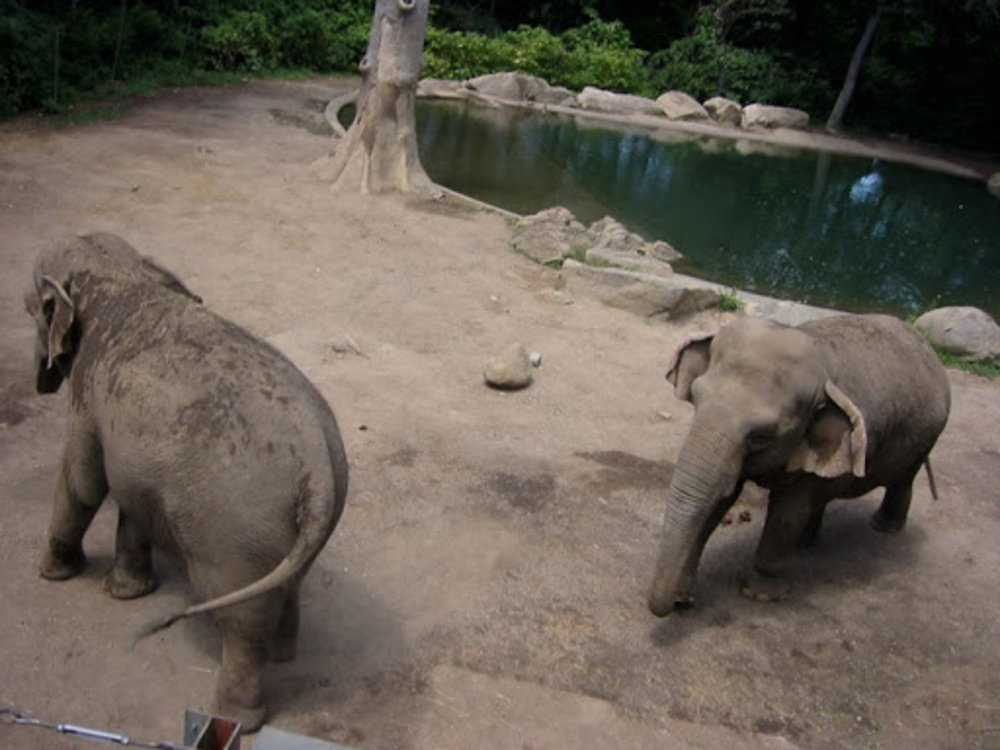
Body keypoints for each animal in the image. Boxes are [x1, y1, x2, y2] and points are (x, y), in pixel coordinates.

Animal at [23, 232, 348, 732]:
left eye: (27, 309)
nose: (39, 378)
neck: (121, 279)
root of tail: (319, 473)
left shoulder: (87, 391)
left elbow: (84, 481)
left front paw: (53, 575)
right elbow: (132, 499)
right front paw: (127, 593)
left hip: (235, 535)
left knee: (240, 618)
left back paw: (233, 716)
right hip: (284, 533)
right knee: (283, 588)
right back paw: (283, 656)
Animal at [648, 314, 952, 620]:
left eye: (762, 436)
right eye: (695, 399)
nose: (674, 606)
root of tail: (926, 345)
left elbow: (787, 511)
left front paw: (760, 595)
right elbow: (719, 499)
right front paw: (683, 595)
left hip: (926, 437)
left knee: (902, 480)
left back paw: (884, 527)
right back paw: (806, 542)